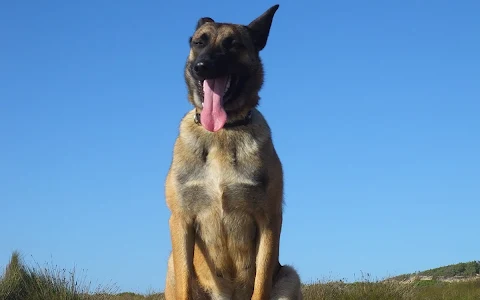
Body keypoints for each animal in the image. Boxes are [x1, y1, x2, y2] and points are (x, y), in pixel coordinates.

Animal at [163, 4, 302, 300]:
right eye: (199, 42)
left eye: (233, 44)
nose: (201, 67)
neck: (222, 132)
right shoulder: (181, 220)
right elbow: (184, 282)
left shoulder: (269, 220)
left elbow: (260, 283)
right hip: (170, 262)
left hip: (289, 276)